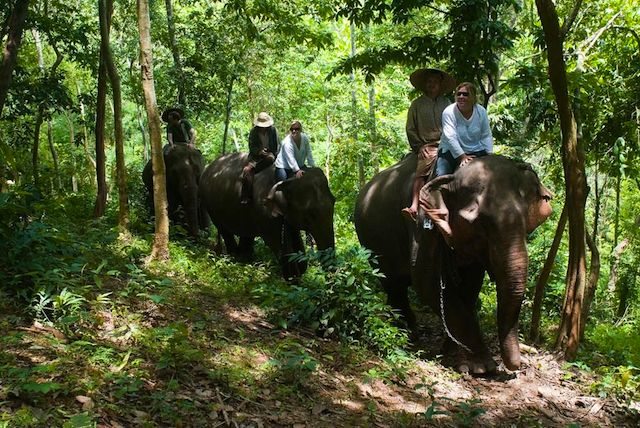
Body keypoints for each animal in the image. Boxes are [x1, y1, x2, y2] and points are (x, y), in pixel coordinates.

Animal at [201, 152, 338, 280]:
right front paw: (292, 279)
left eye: (334, 201)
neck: (288, 178)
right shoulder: (265, 210)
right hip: (210, 205)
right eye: (310, 214)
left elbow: (296, 241)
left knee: (247, 233)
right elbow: (276, 243)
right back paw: (235, 258)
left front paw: (298, 271)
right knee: (225, 231)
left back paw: (245, 259)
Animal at [352, 155, 552, 374]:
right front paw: (481, 367)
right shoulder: (424, 225)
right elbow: (427, 283)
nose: (516, 367)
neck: (452, 176)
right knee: (393, 284)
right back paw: (407, 334)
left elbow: (471, 285)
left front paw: (452, 352)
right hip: (372, 241)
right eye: (480, 223)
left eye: (526, 221)